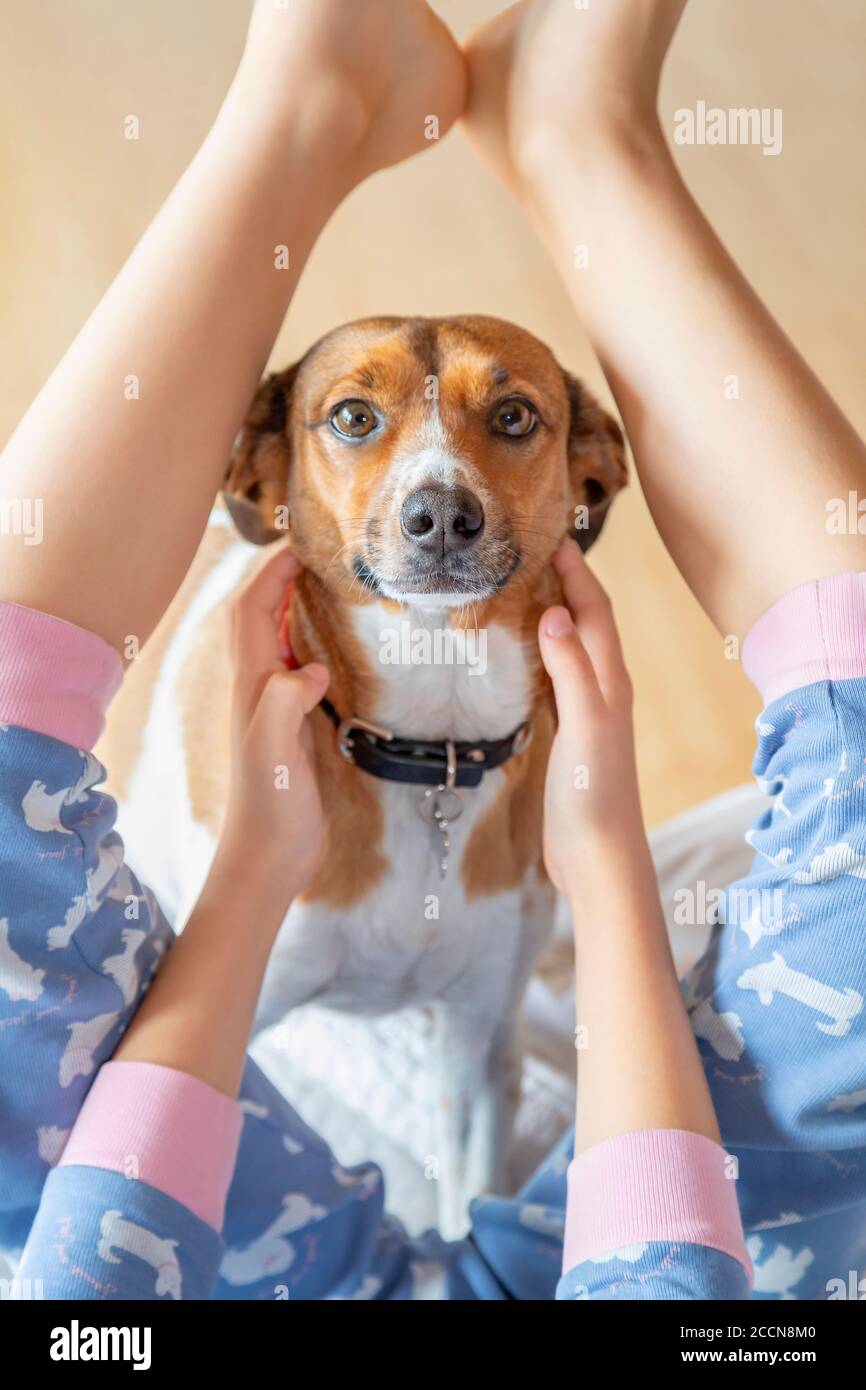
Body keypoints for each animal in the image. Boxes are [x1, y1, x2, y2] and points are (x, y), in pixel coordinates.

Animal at [101, 315, 625, 1228]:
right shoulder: (235, 1008)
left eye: (515, 416)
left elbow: (469, 1196)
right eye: (352, 416)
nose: (442, 514)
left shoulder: (480, 1044)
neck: (427, 752)